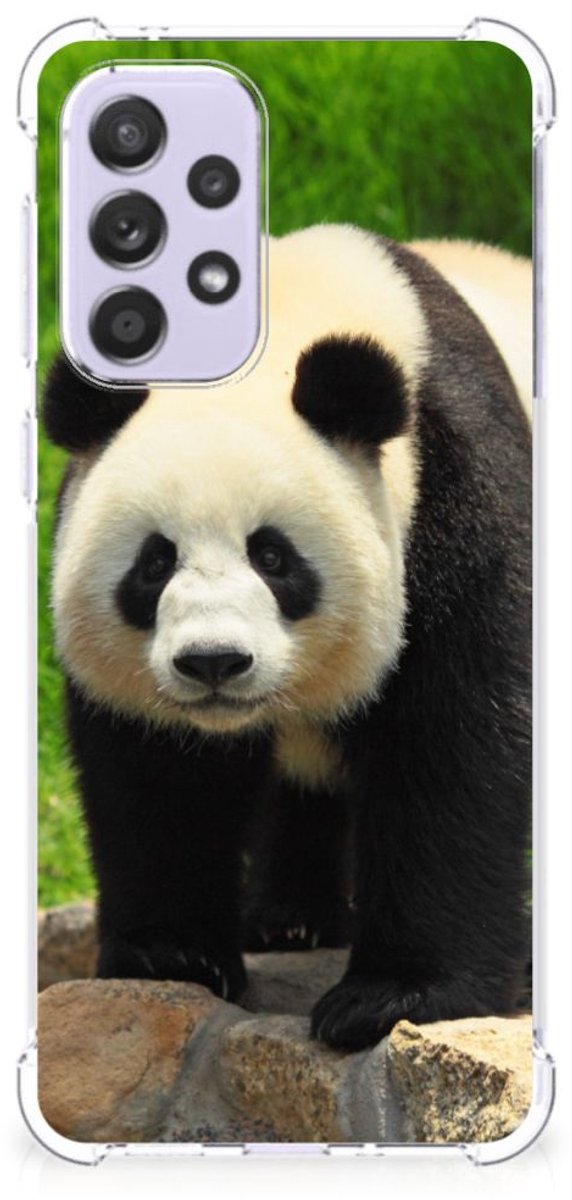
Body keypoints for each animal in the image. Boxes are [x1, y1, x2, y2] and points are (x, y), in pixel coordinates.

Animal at [43, 225, 532, 1051]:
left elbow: (456, 745)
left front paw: (392, 996)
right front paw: (173, 956)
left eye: (272, 557)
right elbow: (157, 774)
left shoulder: (458, 494)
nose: (213, 662)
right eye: (154, 563)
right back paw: (290, 920)